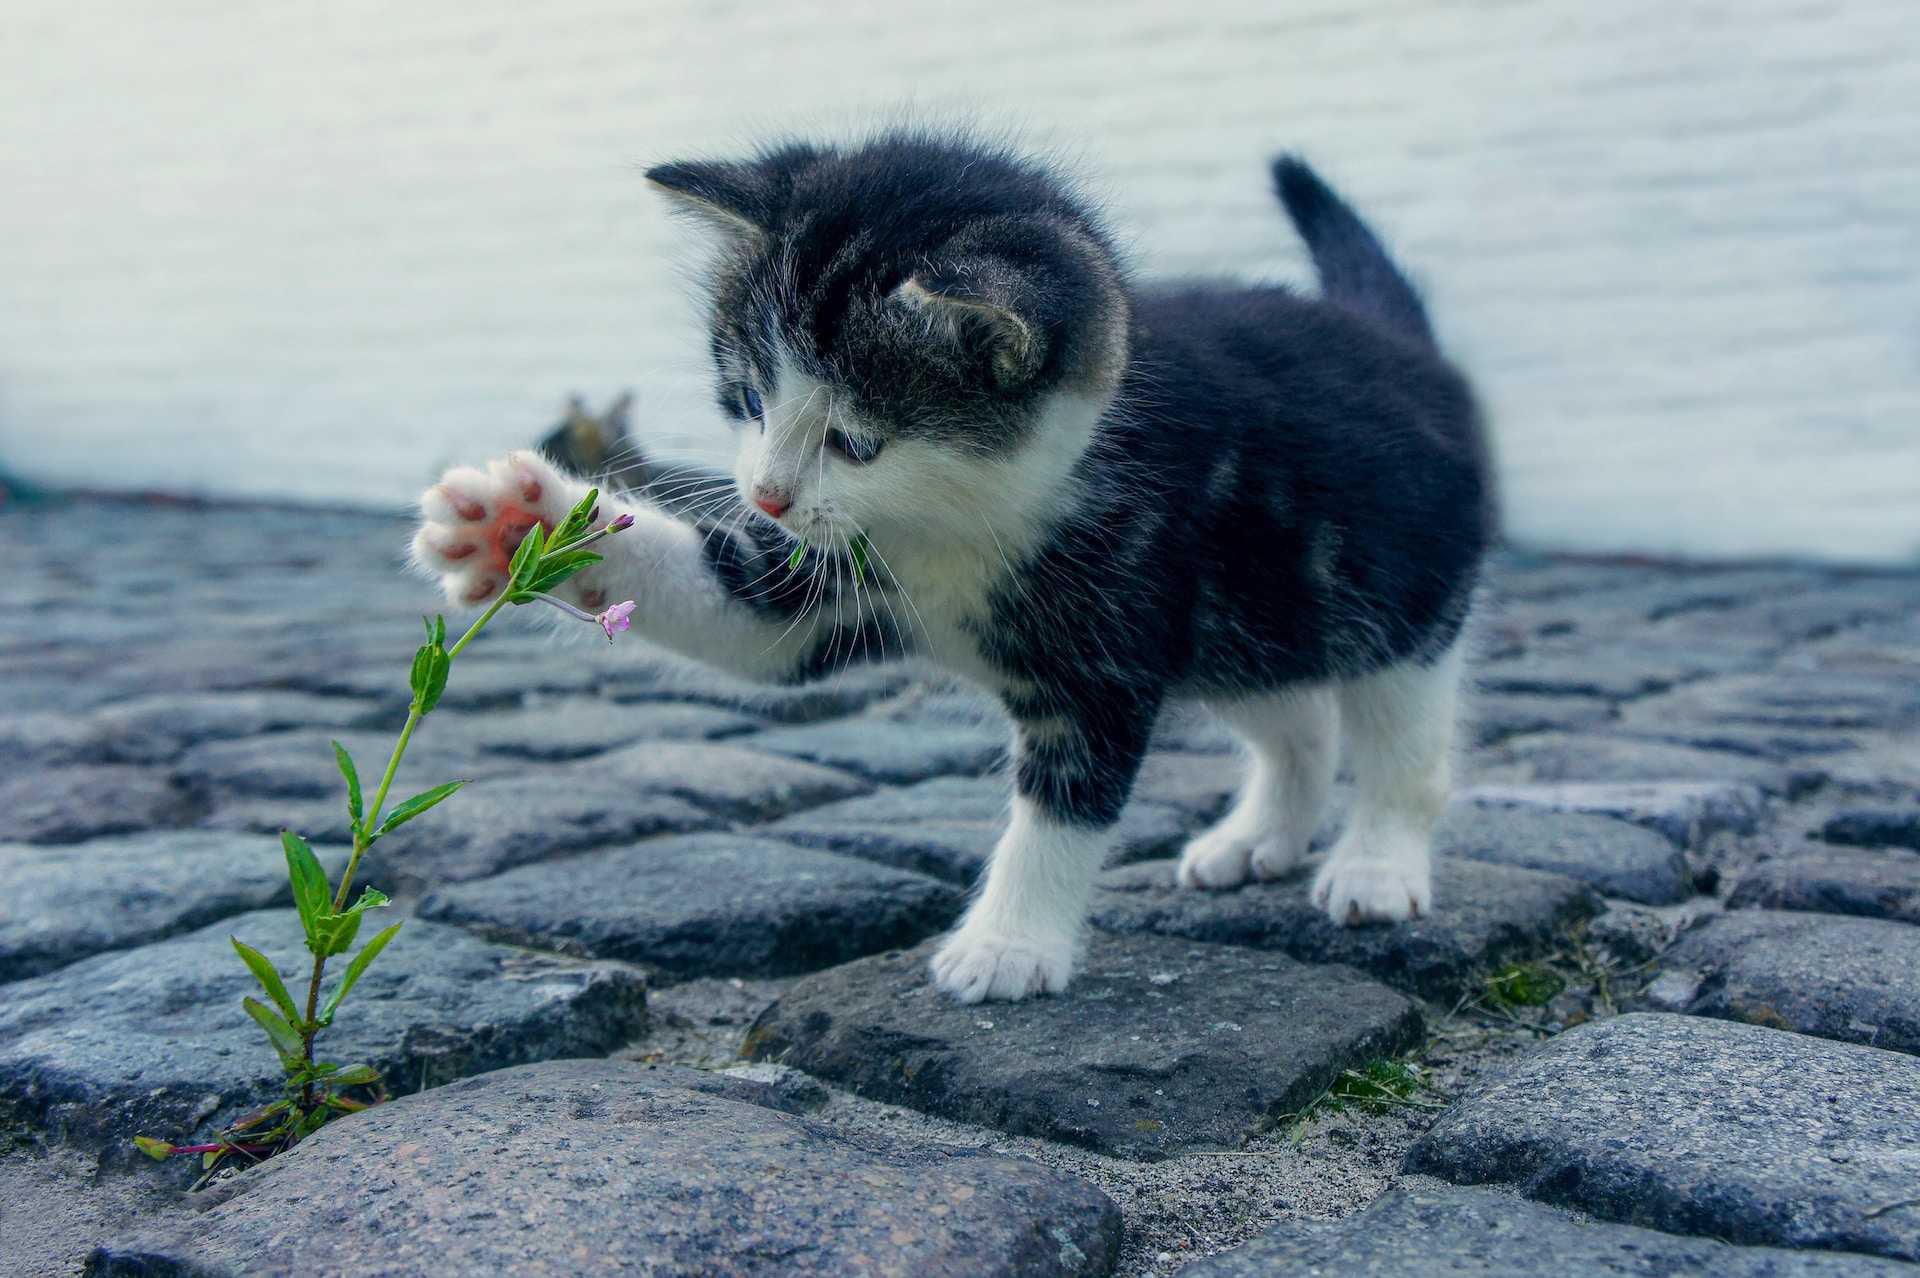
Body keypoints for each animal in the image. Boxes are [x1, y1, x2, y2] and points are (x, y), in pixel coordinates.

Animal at [416, 131, 1497, 1005]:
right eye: (749, 399)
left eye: (856, 441)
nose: (765, 495)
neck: (955, 521)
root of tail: (1400, 342)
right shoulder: (829, 578)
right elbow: (742, 616)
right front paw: (519, 524)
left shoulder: (1110, 632)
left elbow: (1064, 803)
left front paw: (1009, 946)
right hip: (1248, 619)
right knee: (1296, 716)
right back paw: (1259, 836)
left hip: (1397, 593)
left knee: (1402, 738)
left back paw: (1375, 865)